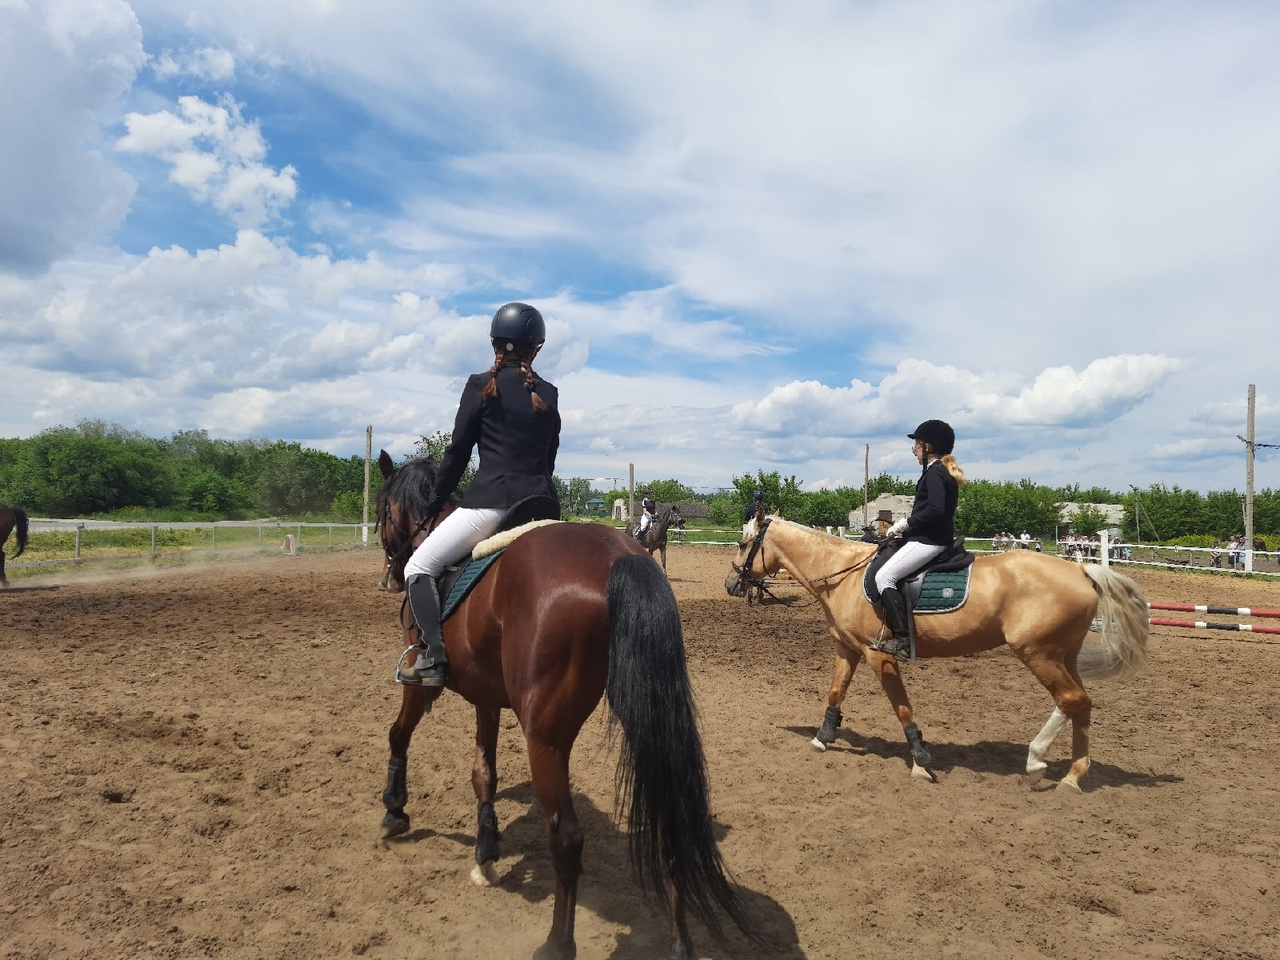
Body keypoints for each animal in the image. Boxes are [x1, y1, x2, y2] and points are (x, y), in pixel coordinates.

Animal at [373, 455, 752, 960]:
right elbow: (483, 773)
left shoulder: (421, 684)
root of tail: (617, 557)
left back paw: (557, 942)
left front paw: (394, 811)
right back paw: (679, 945)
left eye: (382, 507)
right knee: (664, 821)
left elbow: (398, 734)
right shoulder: (486, 696)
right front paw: (486, 853)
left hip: (545, 736)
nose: (389, 577)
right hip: (640, 714)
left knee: (567, 838)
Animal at [727, 519, 1157, 798]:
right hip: (1062, 655)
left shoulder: (878, 656)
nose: (731, 583)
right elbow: (836, 692)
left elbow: (901, 707)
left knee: (1070, 700)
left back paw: (1038, 764)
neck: (842, 575)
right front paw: (823, 736)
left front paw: (920, 760)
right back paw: (1072, 775)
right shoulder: (847, 648)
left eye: (745, 543)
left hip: (1038, 653)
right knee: (1081, 704)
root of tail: (1081, 569)